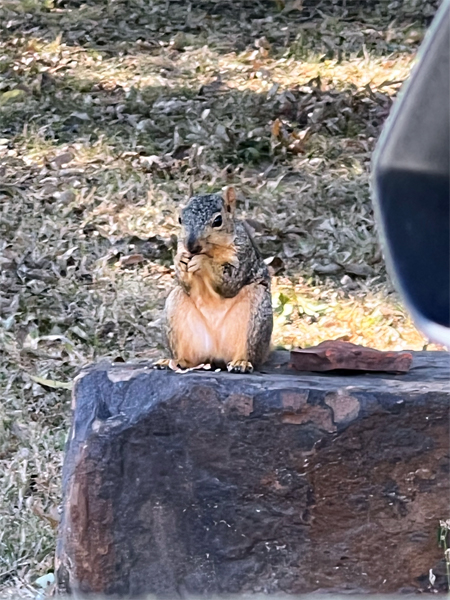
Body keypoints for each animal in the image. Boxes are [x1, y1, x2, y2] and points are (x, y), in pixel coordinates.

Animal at [155, 188, 274, 372]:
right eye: (180, 218)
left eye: (218, 220)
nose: (191, 246)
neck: (209, 250)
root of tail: (216, 353)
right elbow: (186, 283)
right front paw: (180, 261)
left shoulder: (243, 255)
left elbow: (230, 283)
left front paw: (202, 262)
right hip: (176, 308)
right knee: (190, 359)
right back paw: (173, 362)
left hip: (256, 314)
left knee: (249, 353)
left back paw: (241, 363)